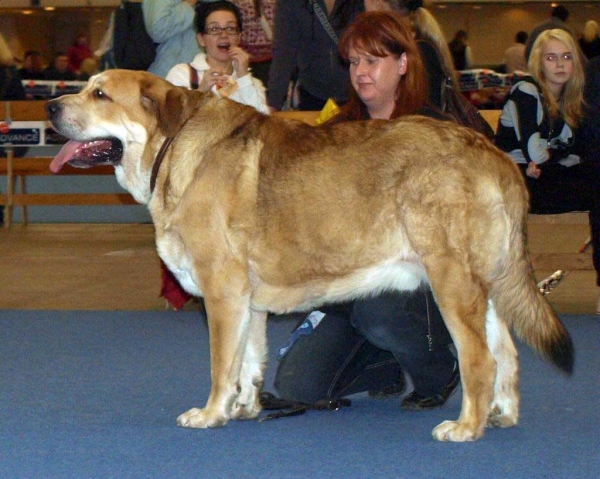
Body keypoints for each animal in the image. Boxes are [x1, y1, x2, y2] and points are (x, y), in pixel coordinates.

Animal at [45, 70, 572, 442]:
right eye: (84, 88)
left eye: (100, 94)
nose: (50, 105)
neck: (170, 150)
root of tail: (492, 153)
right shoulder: (248, 303)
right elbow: (249, 363)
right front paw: (245, 410)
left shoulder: (221, 292)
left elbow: (221, 366)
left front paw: (211, 414)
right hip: (485, 289)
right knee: (506, 354)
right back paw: (501, 416)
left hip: (451, 283)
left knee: (478, 359)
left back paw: (465, 427)